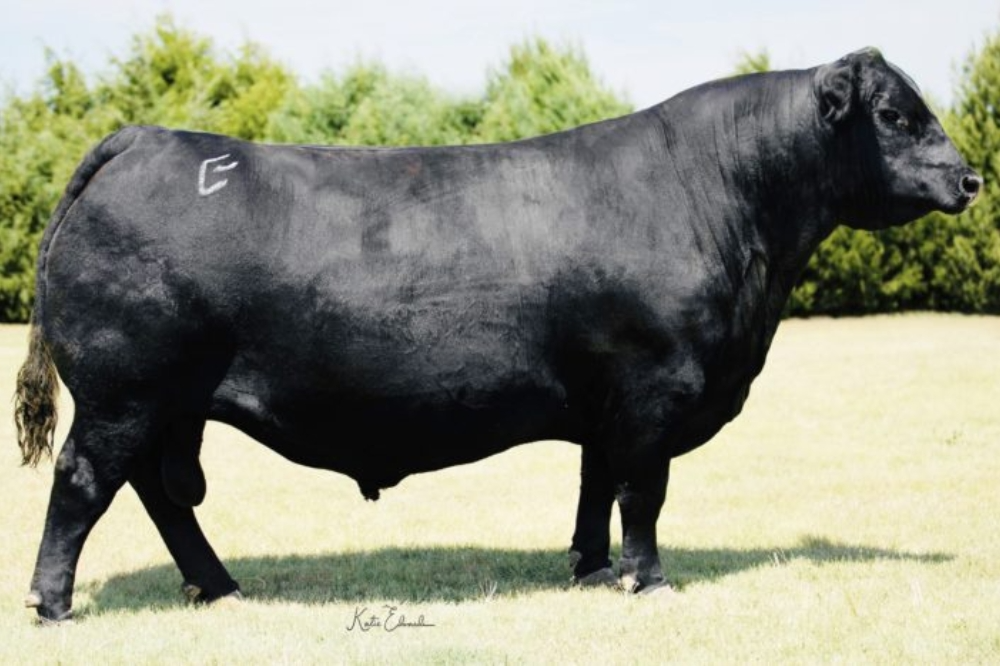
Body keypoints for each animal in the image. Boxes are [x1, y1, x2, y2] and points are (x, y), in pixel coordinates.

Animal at [14, 48, 980, 622]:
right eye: (895, 116)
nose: (971, 177)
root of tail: (144, 139)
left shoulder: (605, 402)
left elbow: (597, 485)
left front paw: (589, 568)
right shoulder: (654, 388)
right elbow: (644, 492)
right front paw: (649, 580)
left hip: (166, 405)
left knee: (161, 493)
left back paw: (216, 586)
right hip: (124, 393)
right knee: (84, 482)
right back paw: (54, 603)